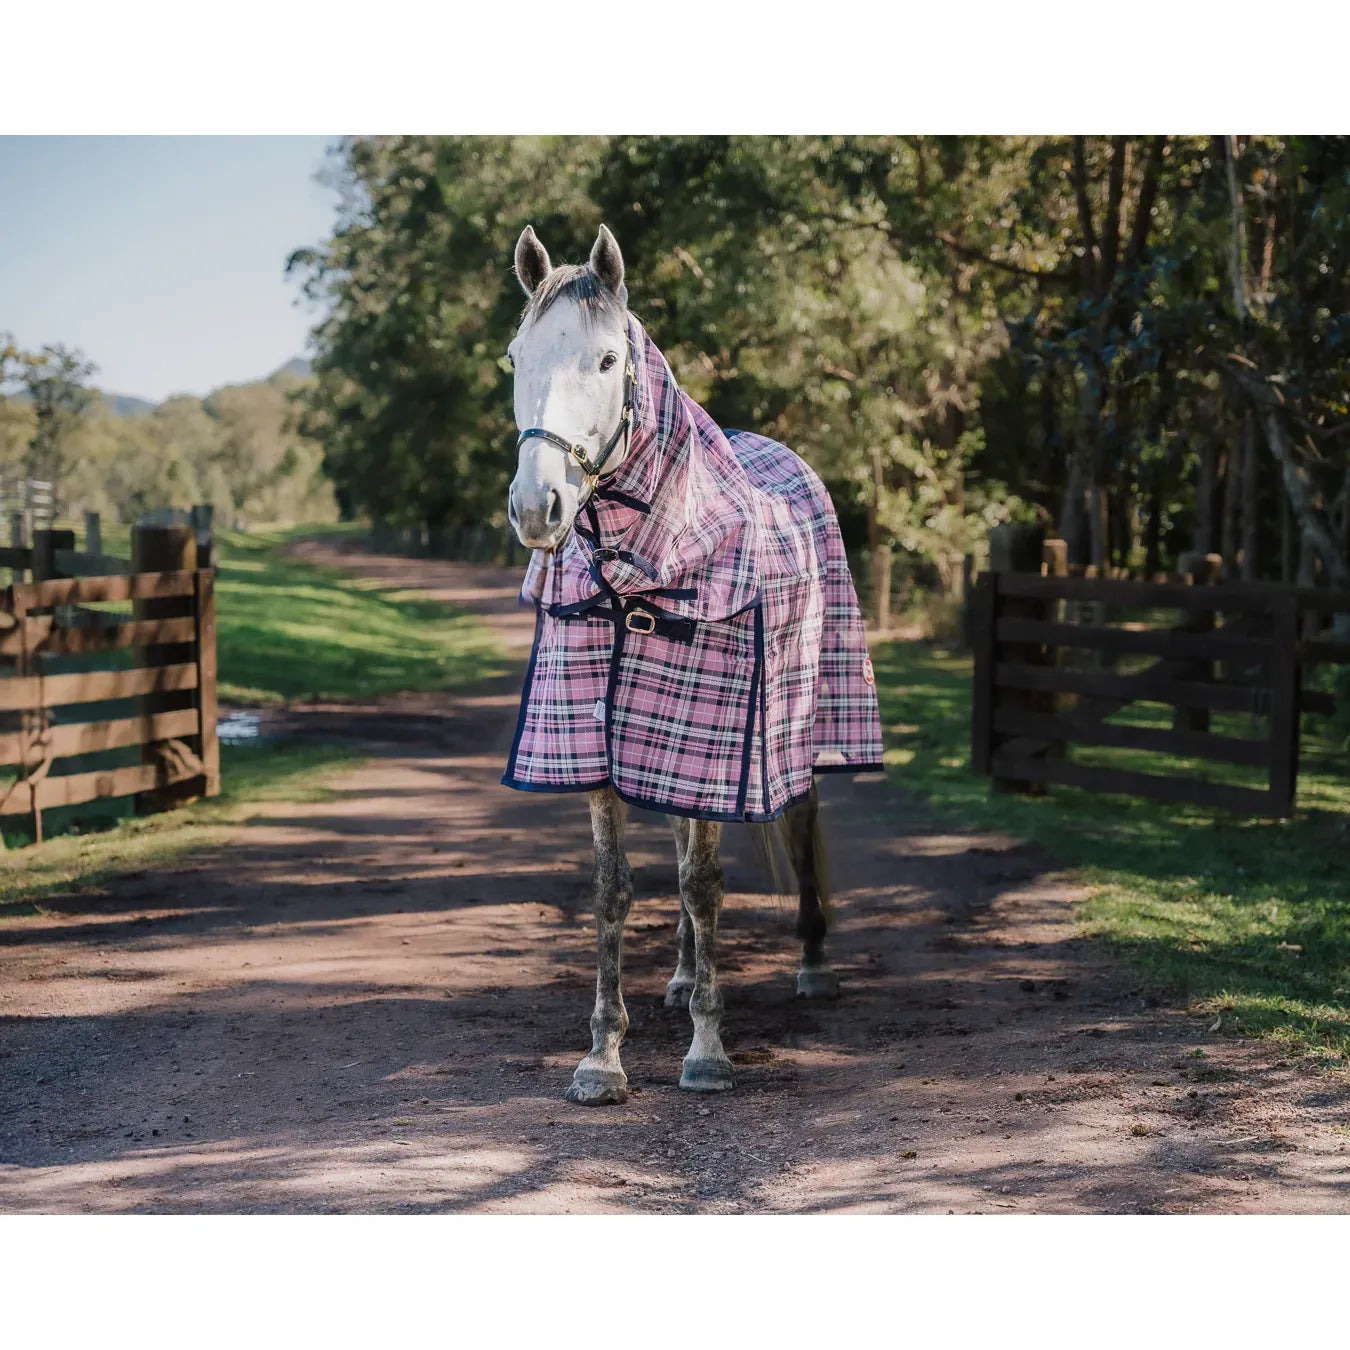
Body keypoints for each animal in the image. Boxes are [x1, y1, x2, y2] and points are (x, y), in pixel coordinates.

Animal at [503, 224, 883, 1105]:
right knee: (679, 840)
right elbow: (616, 888)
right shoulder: (605, 745)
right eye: (514, 356)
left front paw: (708, 1051)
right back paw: (678, 978)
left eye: (608, 359)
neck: (642, 571)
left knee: (799, 823)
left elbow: (704, 885)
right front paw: (602, 1057)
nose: (537, 507)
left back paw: (812, 964)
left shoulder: (720, 748)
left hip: (798, 730)